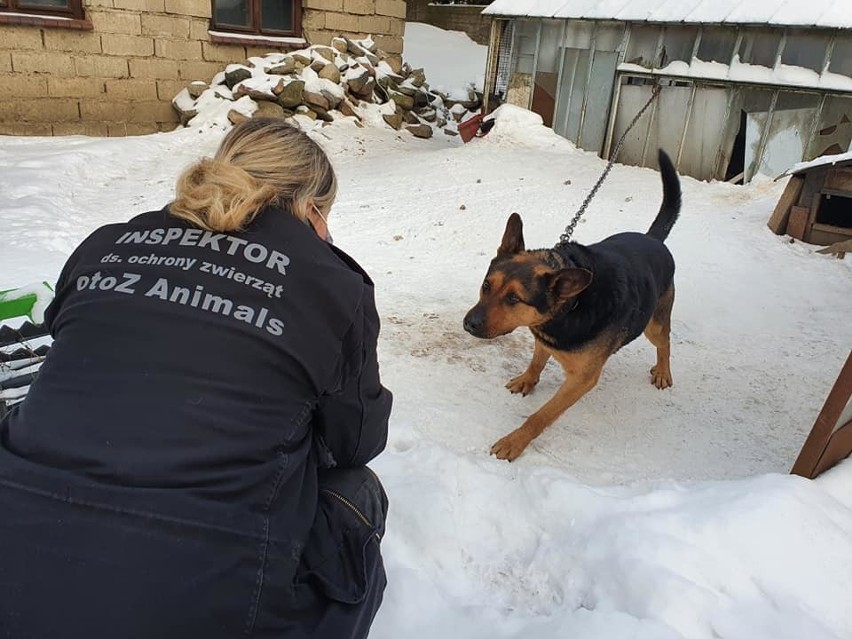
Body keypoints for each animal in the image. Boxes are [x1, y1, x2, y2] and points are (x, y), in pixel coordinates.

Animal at [462, 150, 684, 460]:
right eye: (486, 285)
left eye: (514, 299)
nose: (468, 324)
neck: (568, 307)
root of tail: (653, 238)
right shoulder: (543, 337)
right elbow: (537, 360)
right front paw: (527, 379)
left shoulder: (581, 380)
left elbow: (541, 415)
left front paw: (515, 441)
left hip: (654, 323)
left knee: (664, 343)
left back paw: (663, 371)